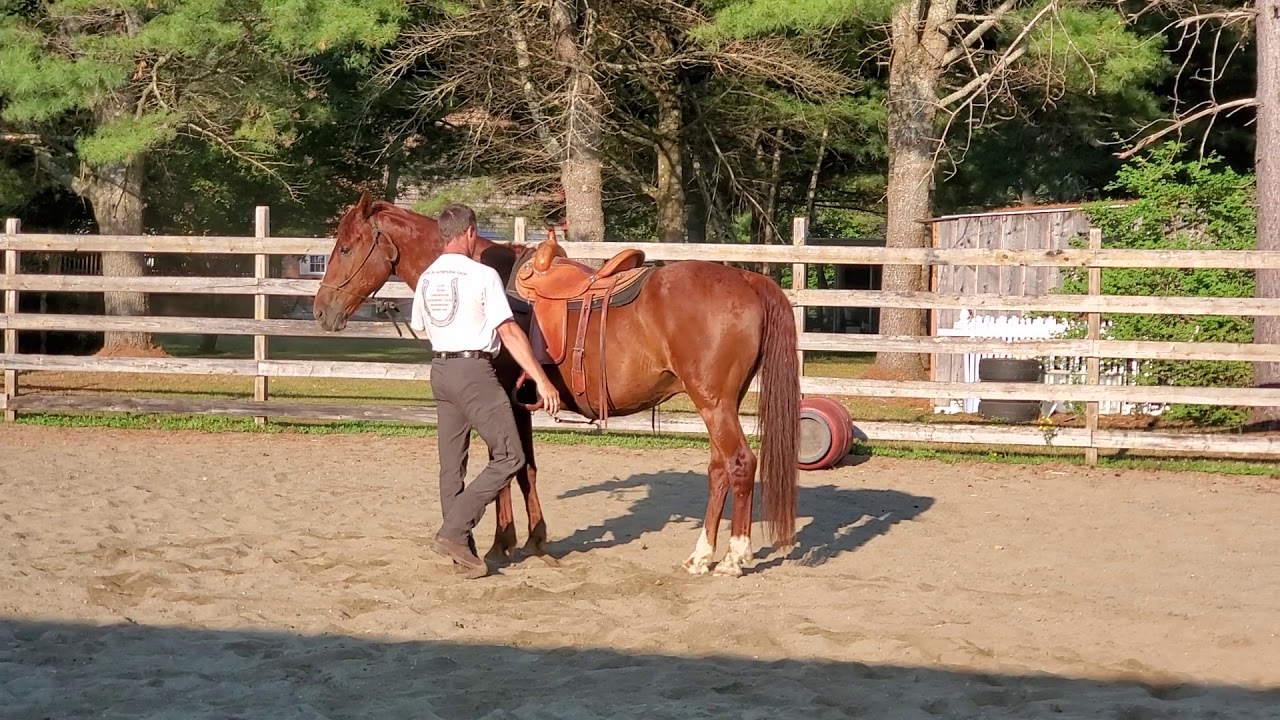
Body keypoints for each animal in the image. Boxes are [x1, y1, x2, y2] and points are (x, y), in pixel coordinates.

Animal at [312, 191, 800, 577]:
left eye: (346, 247)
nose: (321, 310)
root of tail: (749, 278)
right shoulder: (518, 404)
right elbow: (524, 469)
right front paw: (534, 539)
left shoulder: (500, 401)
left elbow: (505, 469)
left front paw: (501, 544)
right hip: (720, 404)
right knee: (719, 470)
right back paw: (701, 555)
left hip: (714, 403)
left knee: (739, 464)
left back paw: (734, 557)